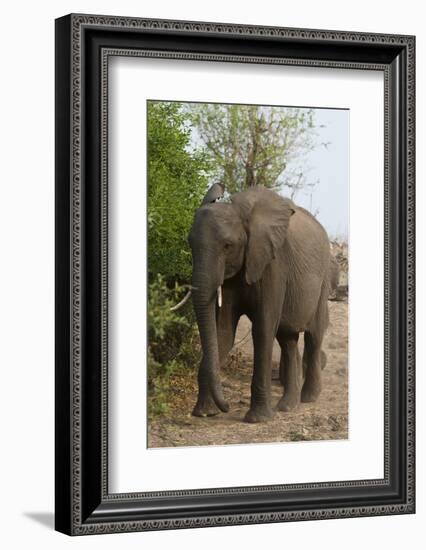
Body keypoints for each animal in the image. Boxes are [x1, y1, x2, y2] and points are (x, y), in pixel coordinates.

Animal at [188, 183, 332, 424]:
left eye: (227, 246)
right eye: (189, 244)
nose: (227, 407)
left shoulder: (273, 263)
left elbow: (263, 329)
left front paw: (257, 419)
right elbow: (223, 331)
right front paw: (204, 413)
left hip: (323, 280)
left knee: (314, 335)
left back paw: (309, 398)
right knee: (287, 339)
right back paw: (287, 406)